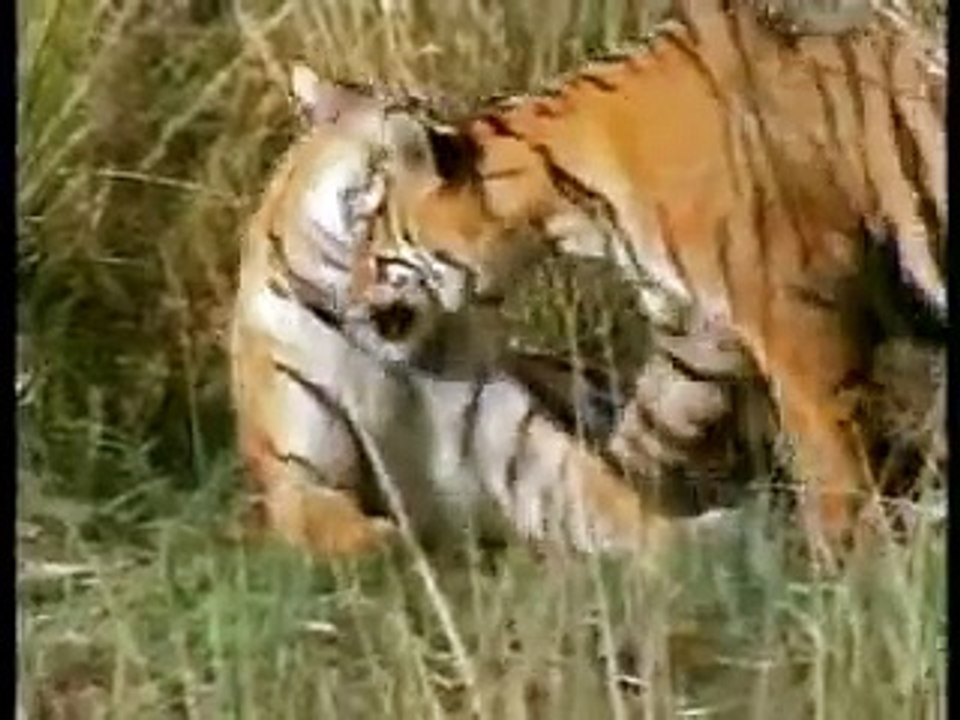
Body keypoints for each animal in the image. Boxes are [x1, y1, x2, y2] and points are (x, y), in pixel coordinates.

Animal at [228, 79, 679, 558]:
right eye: (430, 146)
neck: (390, 354)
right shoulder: (296, 480)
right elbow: (352, 532)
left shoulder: (520, 450)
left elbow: (623, 508)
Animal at [299, 0, 945, 560]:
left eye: (373, 249)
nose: (343, 305)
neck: (571, 207)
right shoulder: (698, 334)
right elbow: (647, 426)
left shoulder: (797, 313)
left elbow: (828, 449)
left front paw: (843, 557)